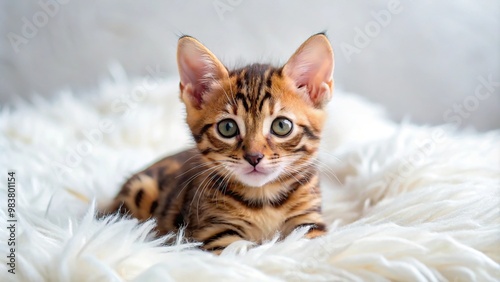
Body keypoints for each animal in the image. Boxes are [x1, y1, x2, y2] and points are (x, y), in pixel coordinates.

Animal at [104, 33, 334, 253]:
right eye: (228, 128)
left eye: (281, 126)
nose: (254, 157)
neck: (263, 199)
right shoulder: (214, 231)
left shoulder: (309, 221)